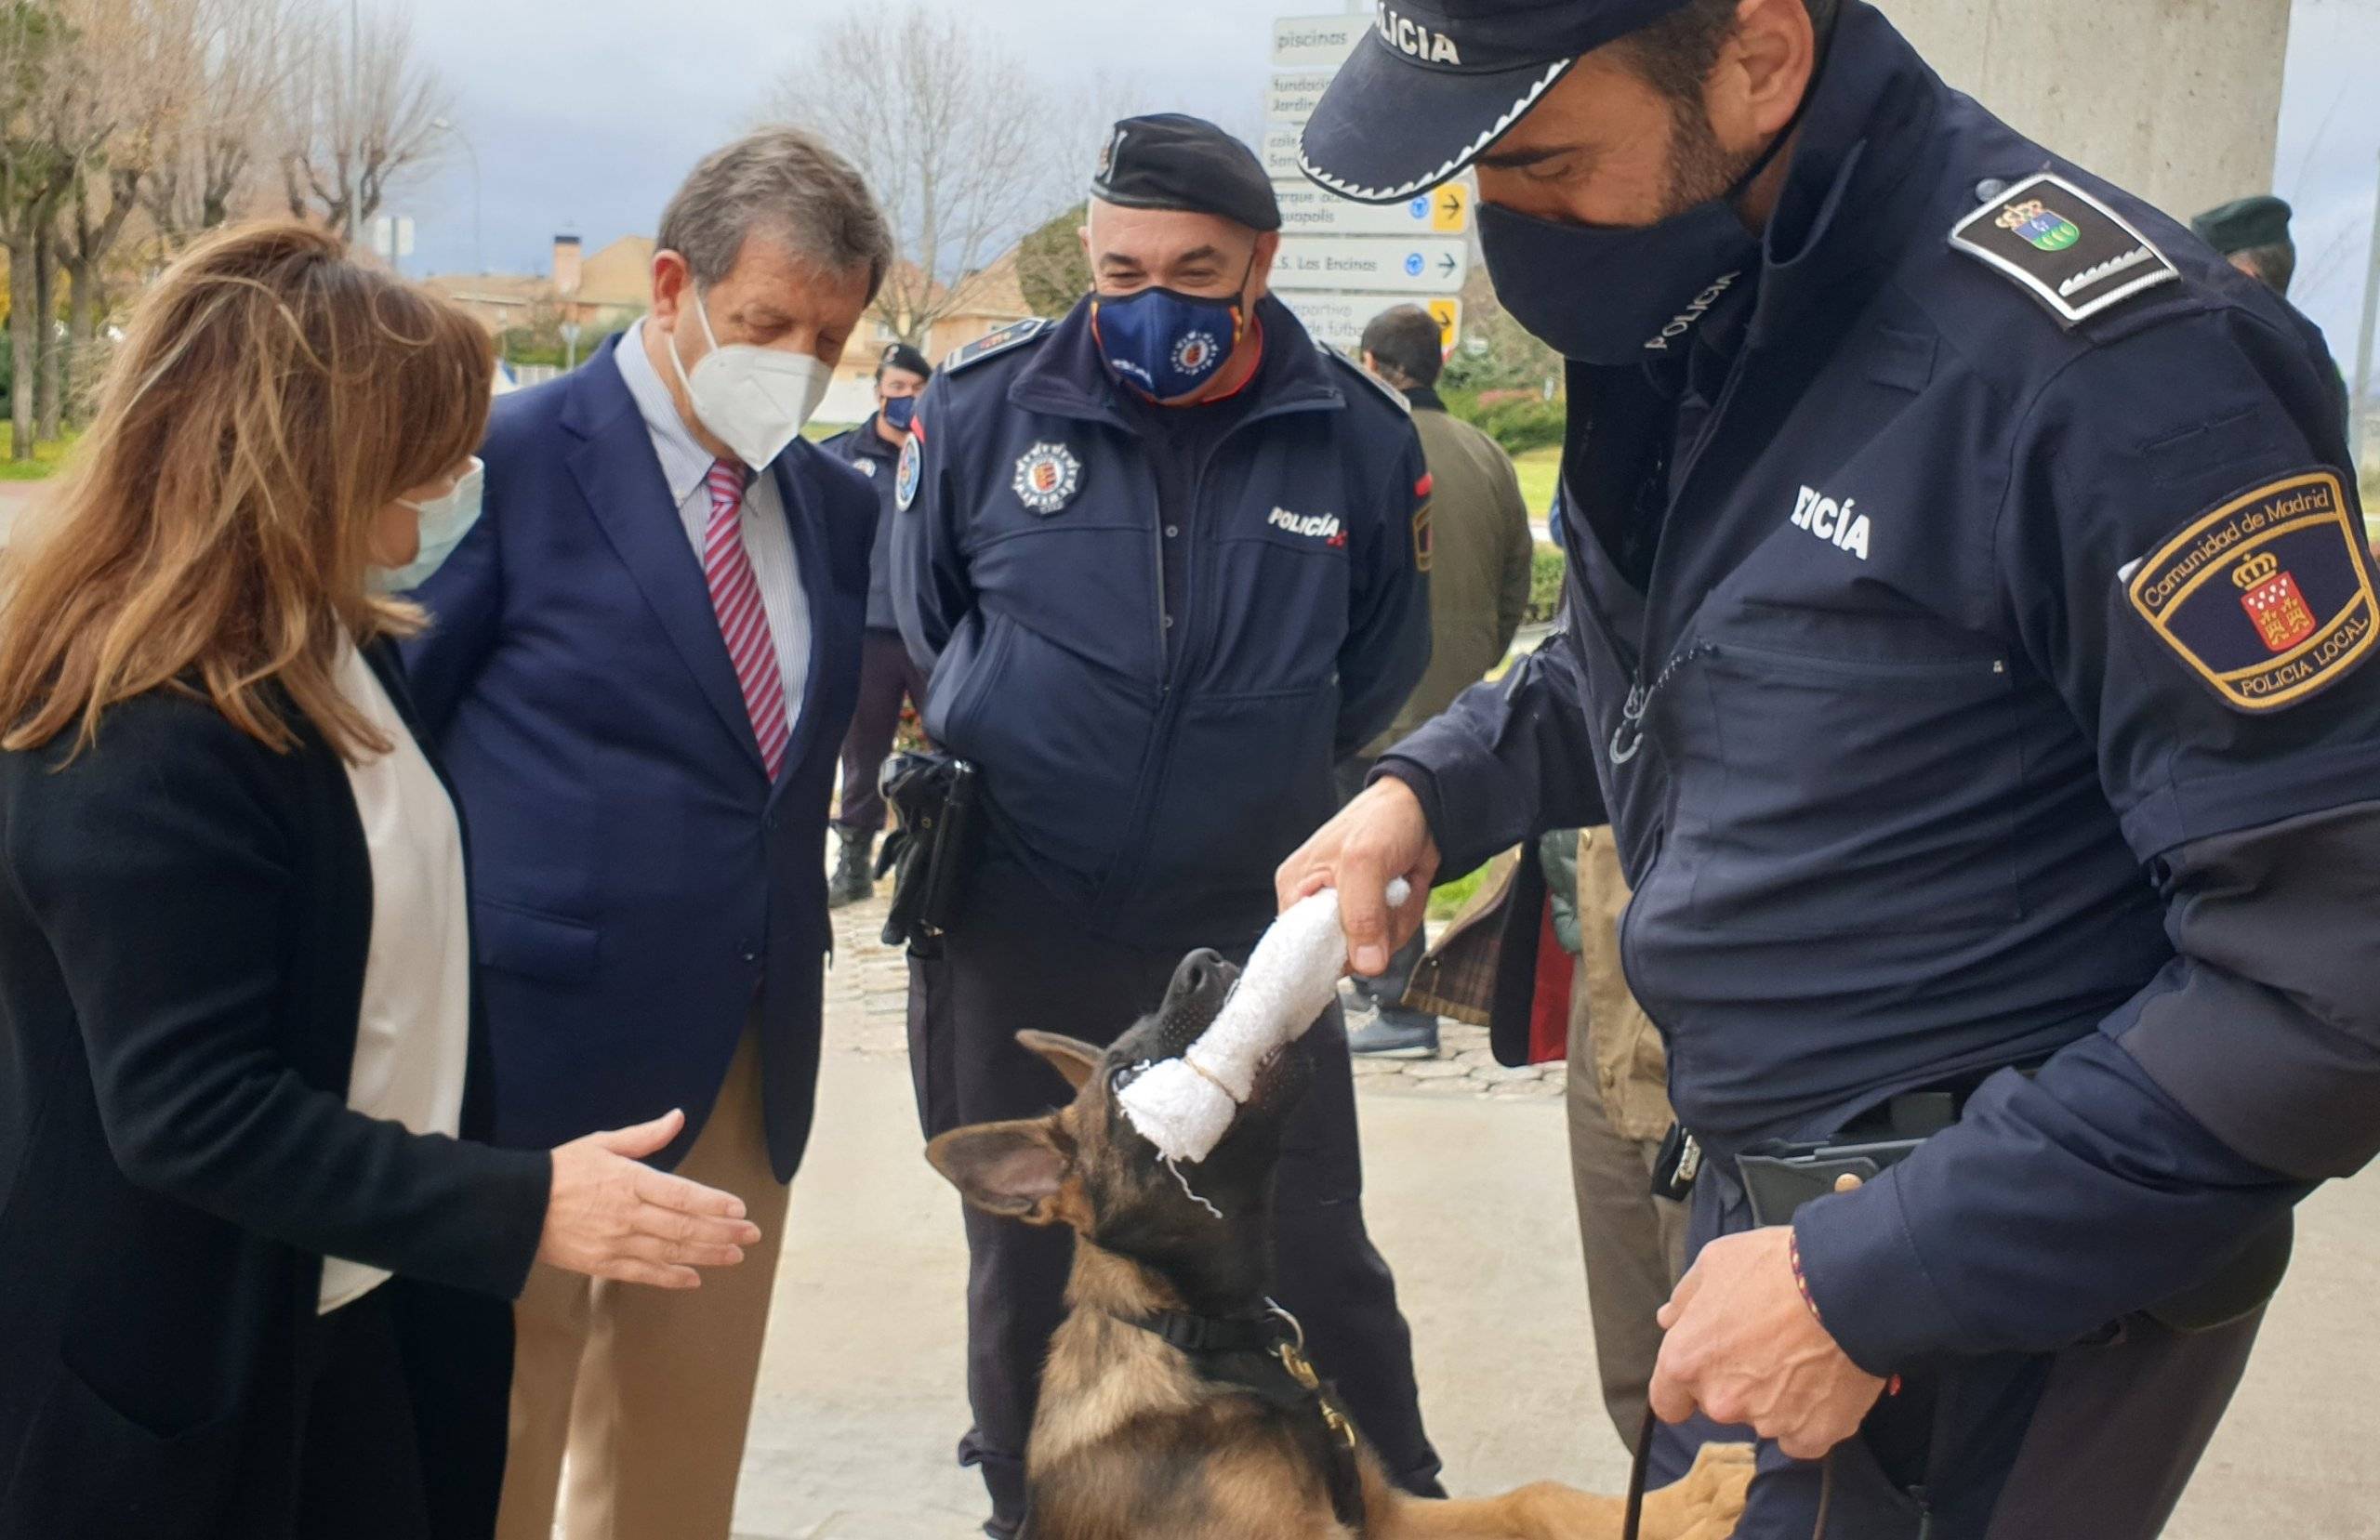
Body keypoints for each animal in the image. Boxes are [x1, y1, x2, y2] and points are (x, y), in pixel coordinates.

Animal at [928, 952, 1752, 1540]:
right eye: (1123, 1074)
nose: (1202, 960)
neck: (1198, 1332)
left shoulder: (1384, 1513)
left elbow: (1535, 1498)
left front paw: (1682, 1499)